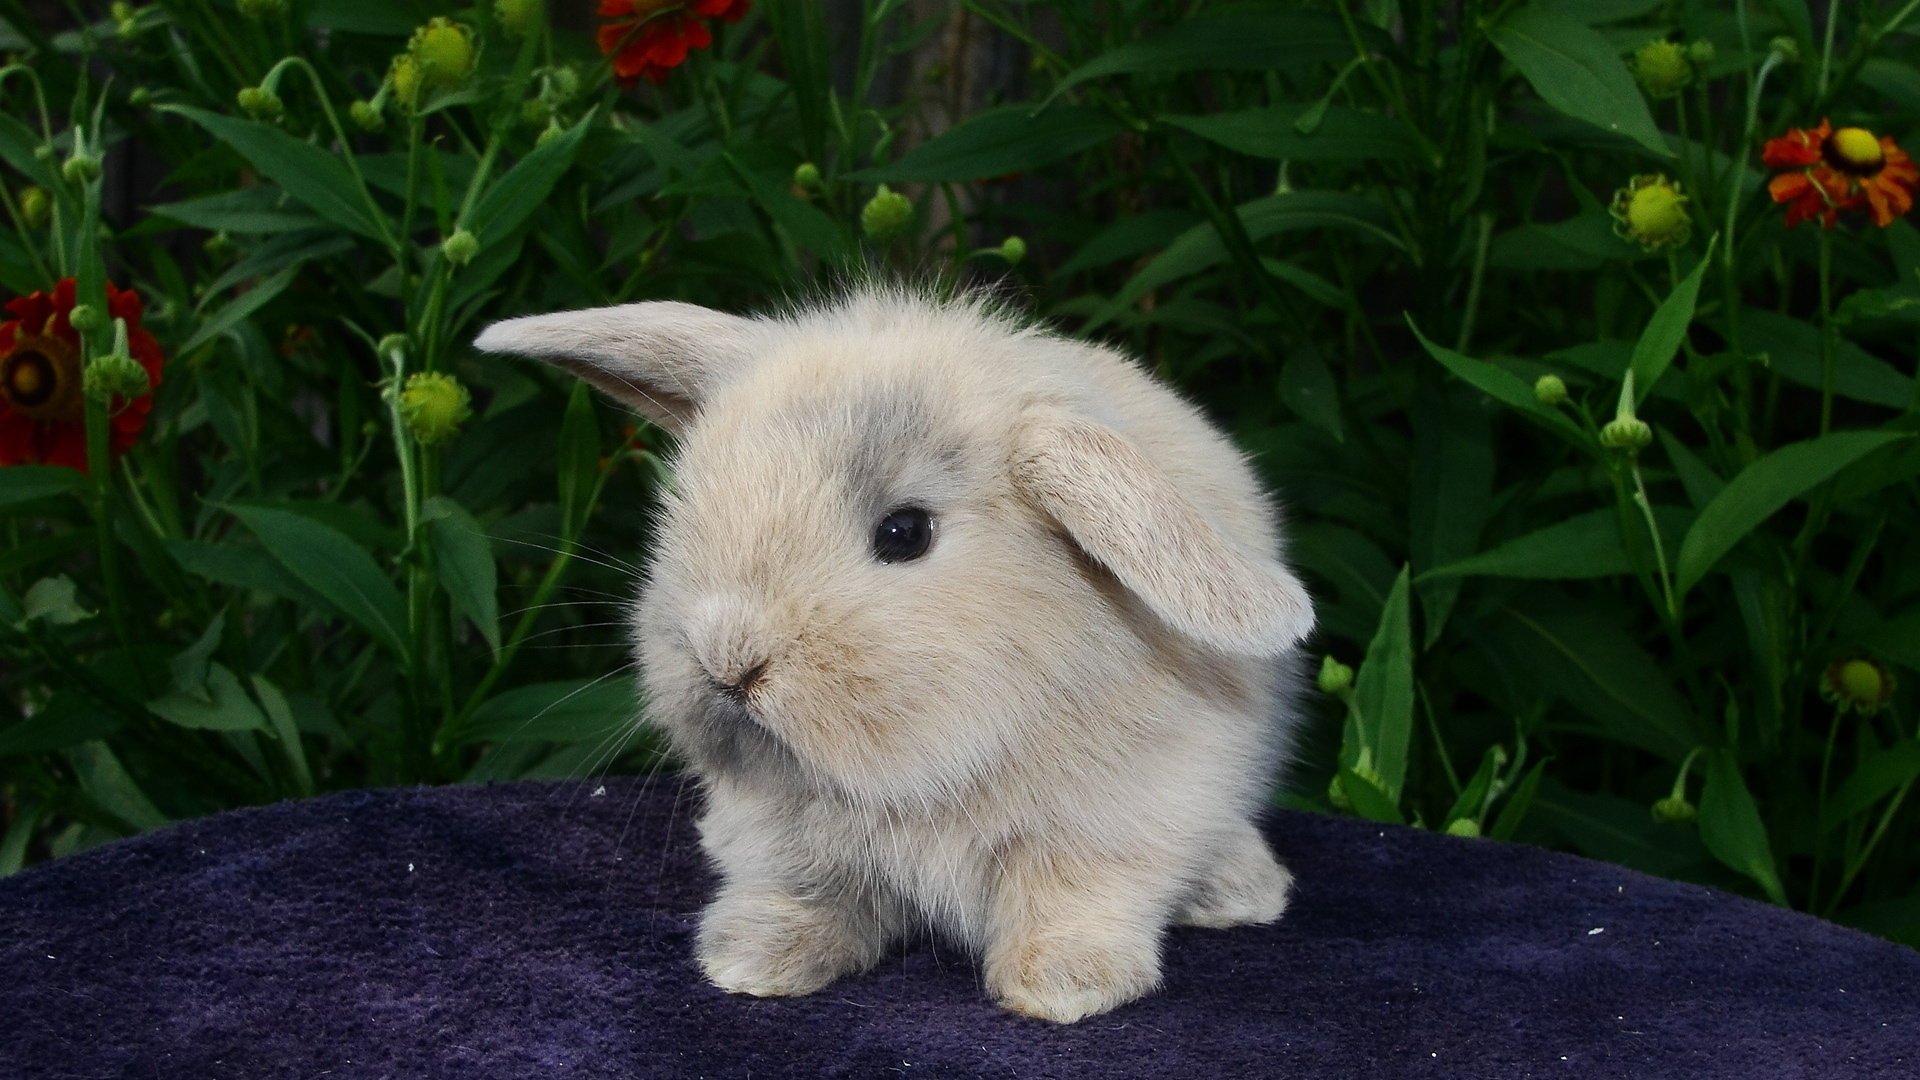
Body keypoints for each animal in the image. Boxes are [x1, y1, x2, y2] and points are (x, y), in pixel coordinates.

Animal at [473, 287, 1314, 1023]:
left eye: (904, 533)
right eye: (690, 503)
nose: (727, 660)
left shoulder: (1122, 820)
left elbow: (1075, 897)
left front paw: (1062, 986)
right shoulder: (785, 836)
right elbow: (806, 893)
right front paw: (751, 960)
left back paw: (1245, 891)